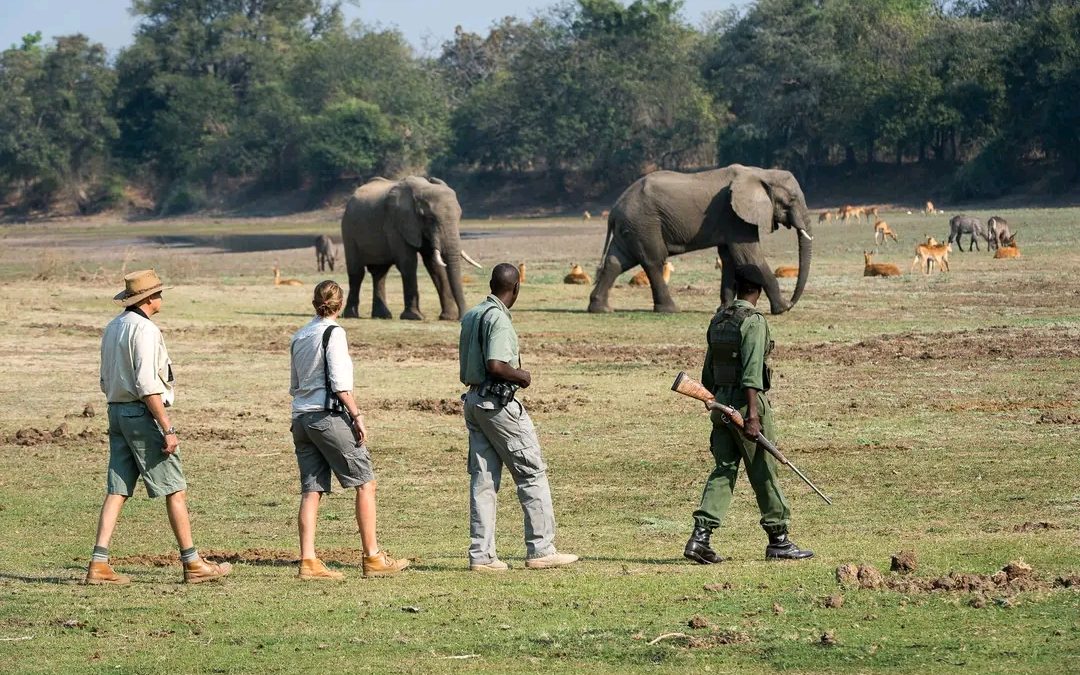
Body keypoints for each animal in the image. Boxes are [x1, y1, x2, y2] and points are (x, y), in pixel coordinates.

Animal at [339, 176, 479, 317]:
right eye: (430, 218)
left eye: (459, 216)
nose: (462, 316)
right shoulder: (396, 224)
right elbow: (408, 263)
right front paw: (414, 316)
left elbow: (434, 265)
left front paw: (448, 317)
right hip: (348, 230)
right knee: (357, 273)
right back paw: (351, 315)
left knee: (379, 273)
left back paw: (382, 316)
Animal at [587, 163, 812, 313]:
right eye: (792, 200)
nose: (792, 302)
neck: (761, 172)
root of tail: (614, 209)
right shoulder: (735, 216)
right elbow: (749, 258)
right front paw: (782, 309)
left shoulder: (730, 220)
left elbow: (729, 258)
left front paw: (724, 309)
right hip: (644, 223)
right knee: (654, 261)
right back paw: (670, 310)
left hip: (631, 227)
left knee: (616, 261)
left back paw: (601, 309)